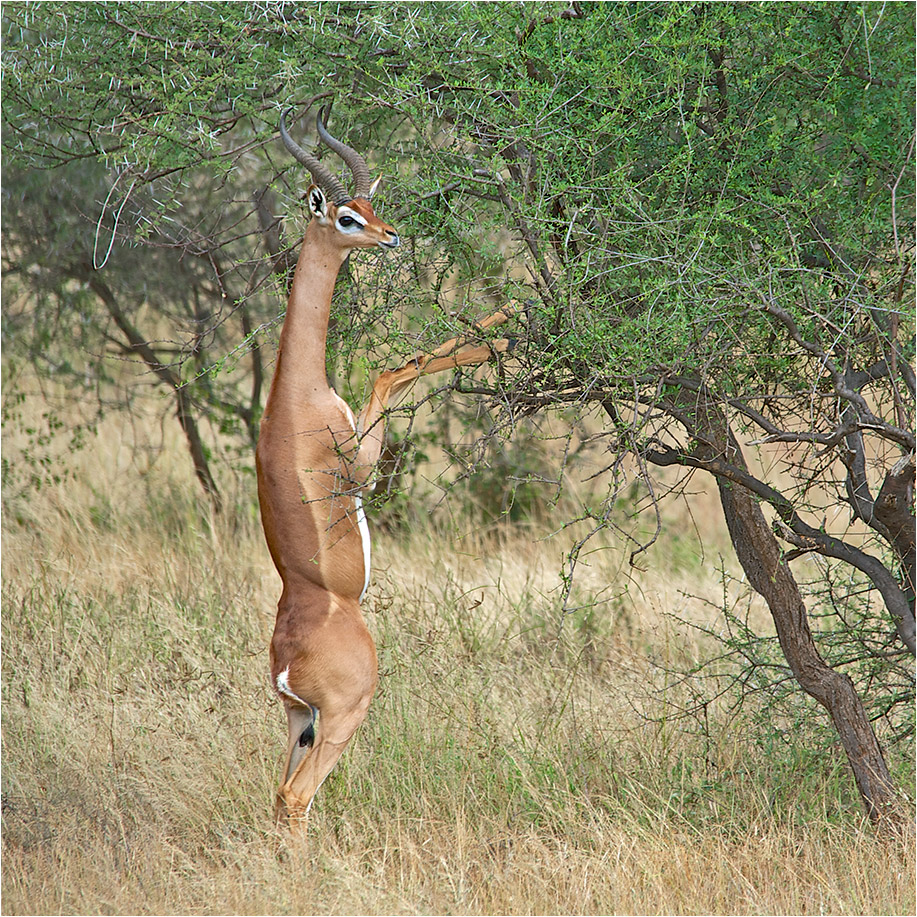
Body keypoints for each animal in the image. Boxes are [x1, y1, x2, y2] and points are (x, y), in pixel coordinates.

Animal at [258, 104, 512, 828]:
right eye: (345, 216)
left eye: (370, 204)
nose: (391, 236)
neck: (296, 393)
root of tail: (287, 664)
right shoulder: (359, 458)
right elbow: (394, 367)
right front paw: (505, 320)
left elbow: (393, 364)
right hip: (346, 713)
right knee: (296, 797)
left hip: (298, 721)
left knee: (278, 795)